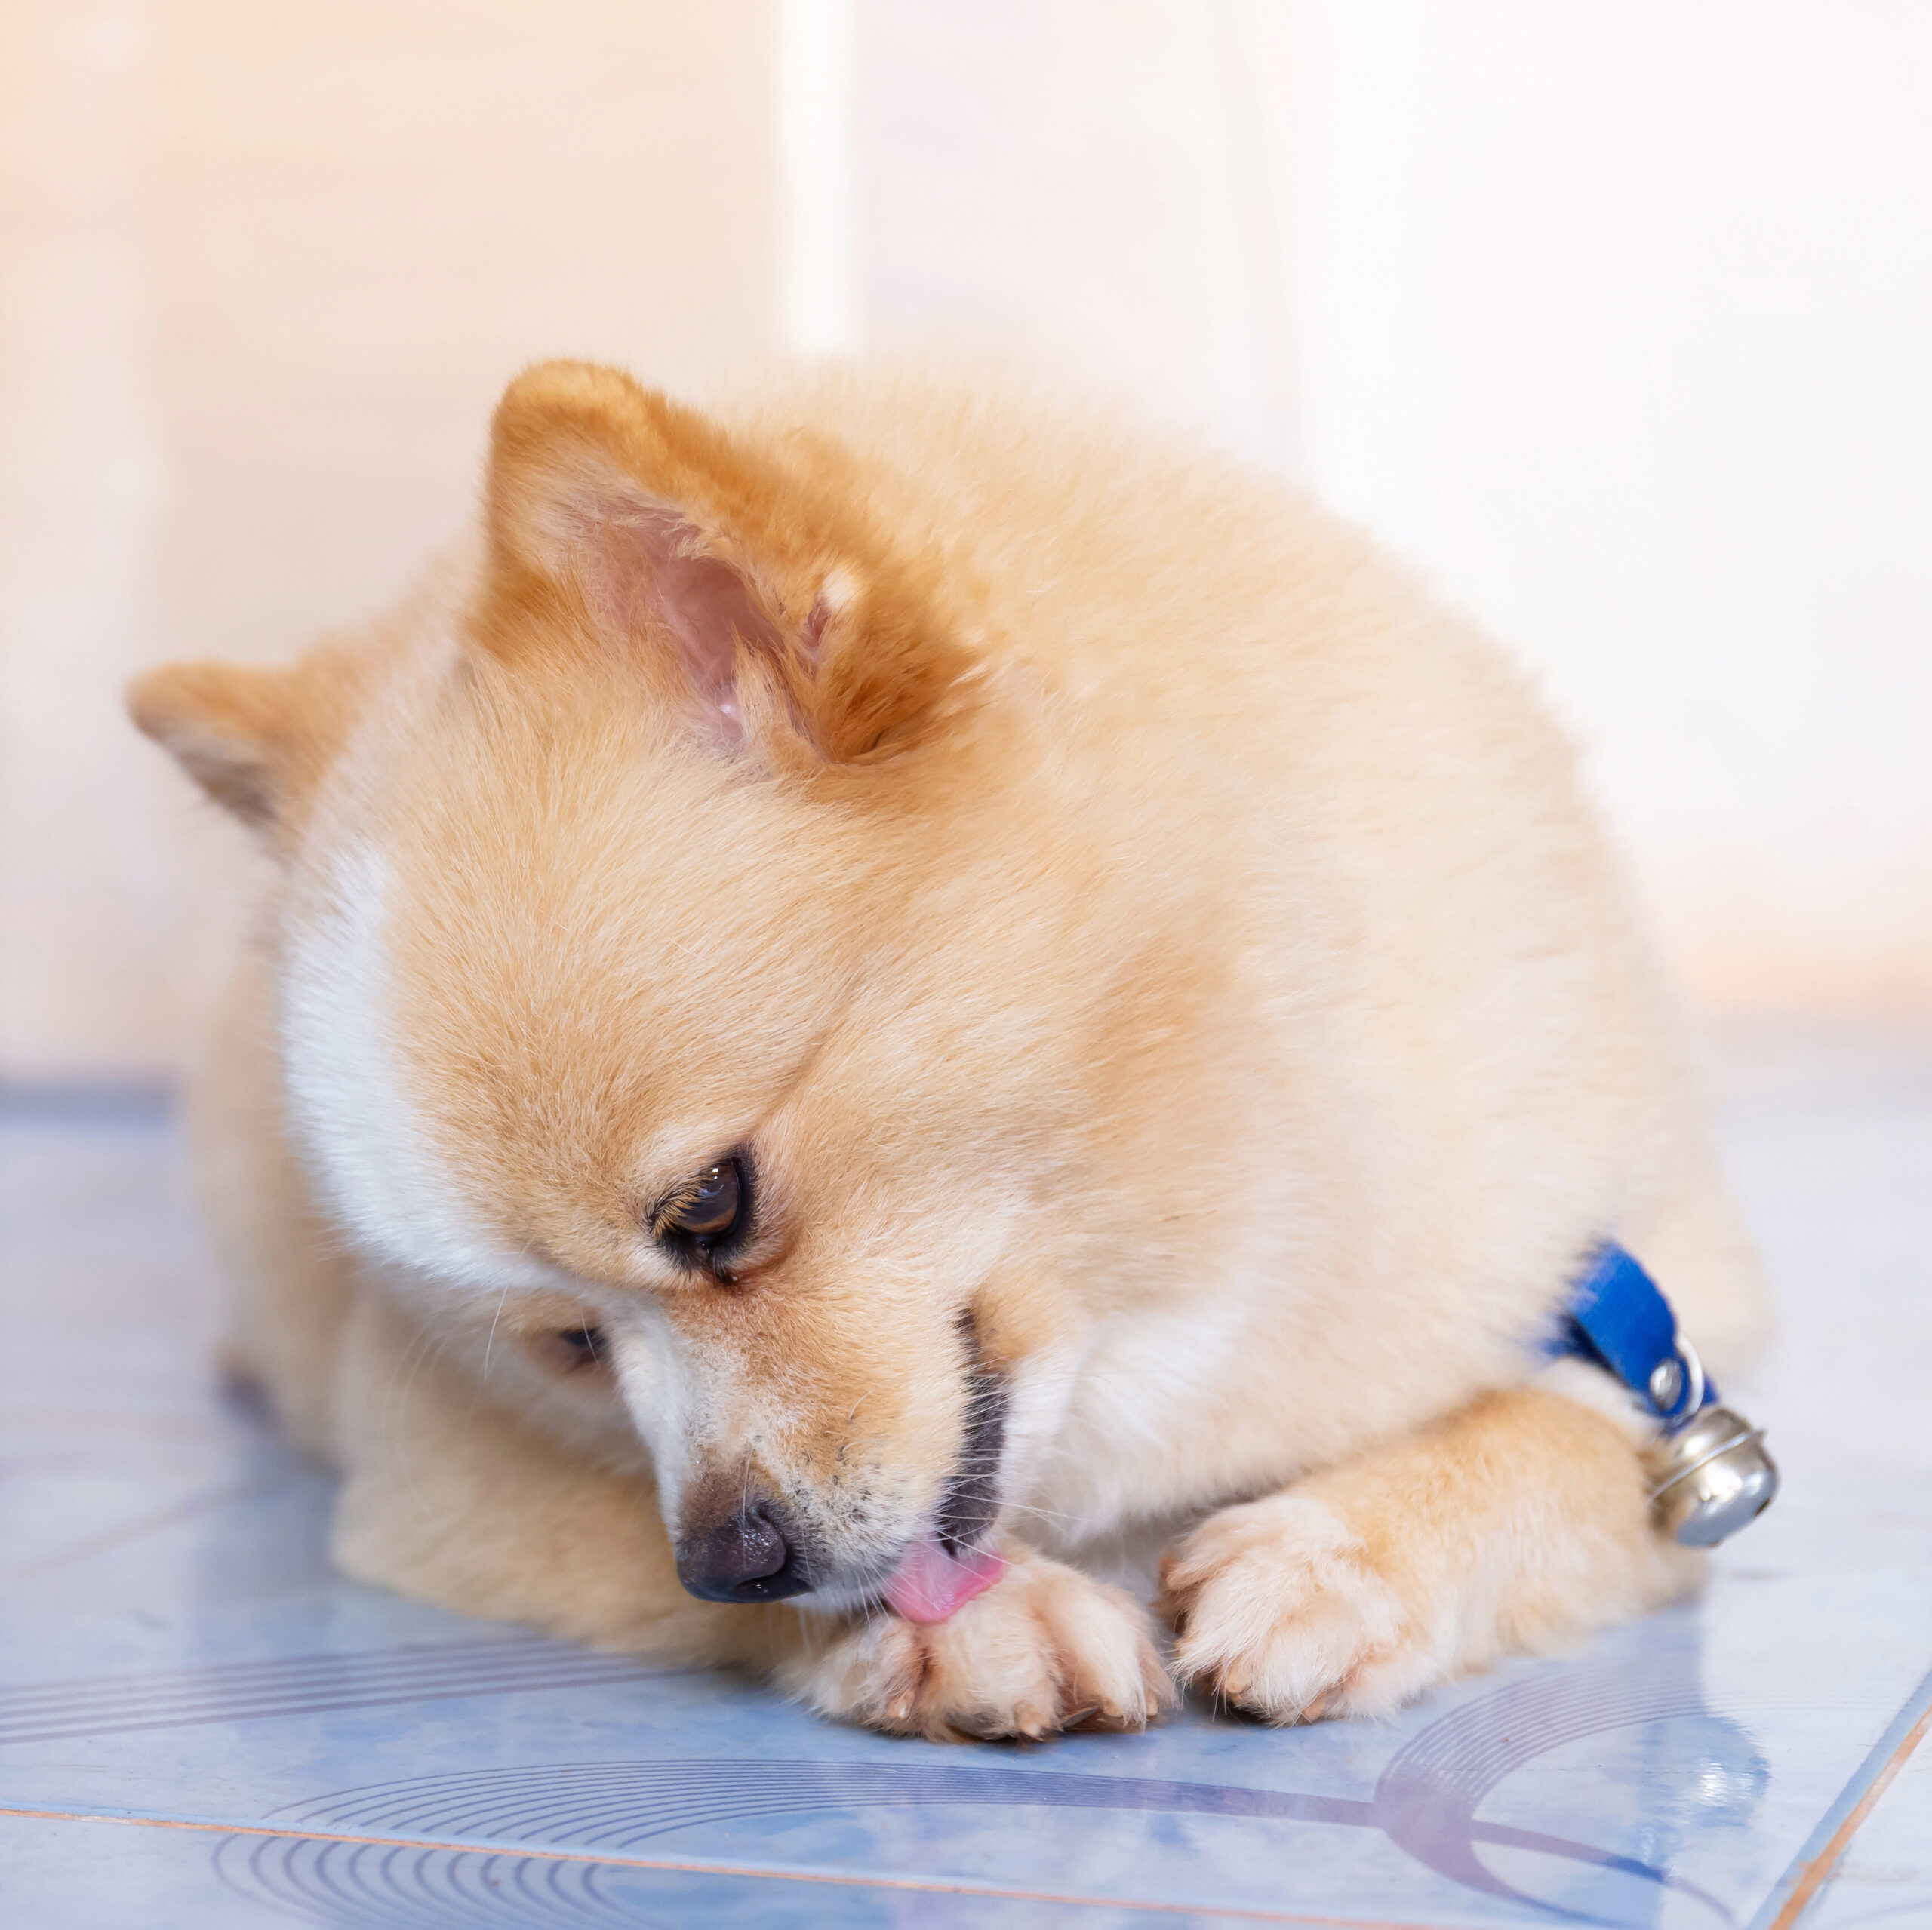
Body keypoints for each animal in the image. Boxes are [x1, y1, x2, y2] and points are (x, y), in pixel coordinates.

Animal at [128, 359, 1769, 1738]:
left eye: (711, 1206)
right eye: (571, 1348)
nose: (732, 1554)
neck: (1177, 1256)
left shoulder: (1666, 1348)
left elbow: (1559, 1439)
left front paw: (1341, 1555)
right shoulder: (430, 1477)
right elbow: (645, 1537)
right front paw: (965, 1625)